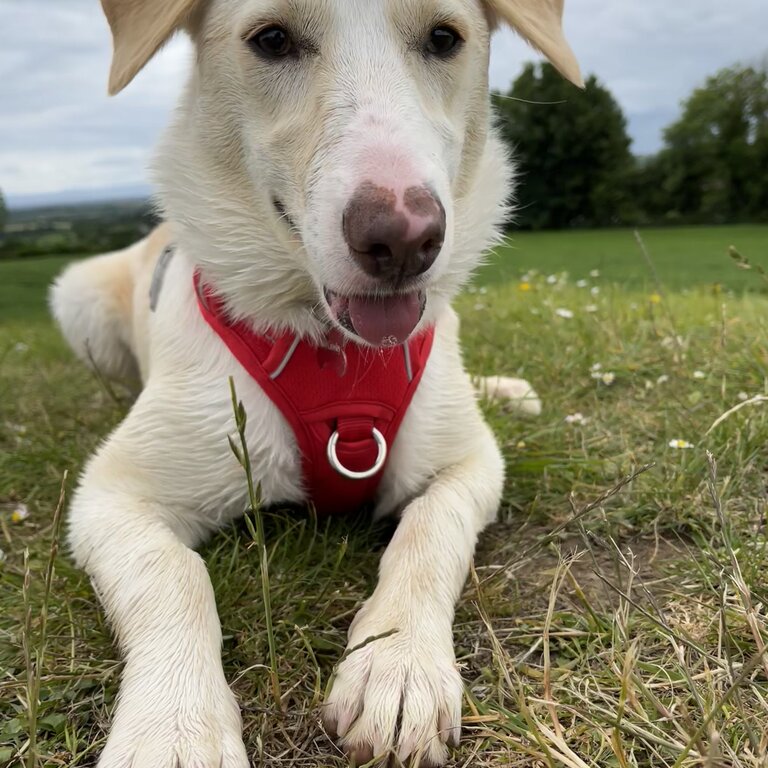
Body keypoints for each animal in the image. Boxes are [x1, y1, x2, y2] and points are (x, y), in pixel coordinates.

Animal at [49, 3, 576, 764]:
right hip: (79, 297)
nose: (404, 239)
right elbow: (174, 576)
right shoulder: (112, 495)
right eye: (271, 39)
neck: (334, 352)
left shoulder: (471, 462)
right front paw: (175, 726)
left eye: (444, 38)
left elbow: (430, 529)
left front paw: (397, 663)